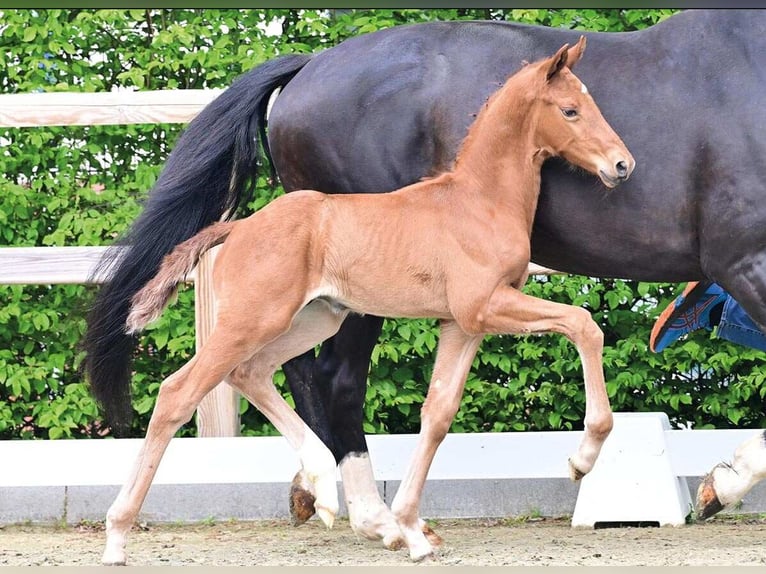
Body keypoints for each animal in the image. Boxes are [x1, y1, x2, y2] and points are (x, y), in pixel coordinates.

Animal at [83, 9, 766, 545]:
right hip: (307, 312)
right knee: (294, 381)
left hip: (316, 310)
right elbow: (583, 326)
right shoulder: (740, 264)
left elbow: (439, 410)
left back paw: (328, 496)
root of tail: (306, 69)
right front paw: (598, 460)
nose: (623, 164)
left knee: (273, 372)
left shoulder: (467, 319)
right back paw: (361, 515)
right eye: (571, 108)